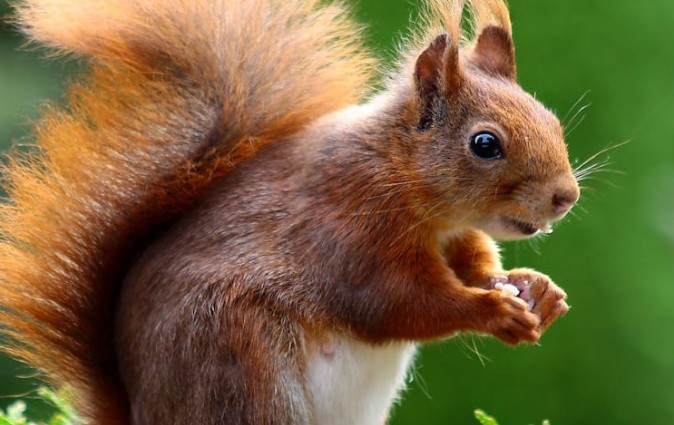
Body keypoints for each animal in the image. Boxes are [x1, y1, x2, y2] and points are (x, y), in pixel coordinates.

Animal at [0, 0, 580, 424]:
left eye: (550, 119)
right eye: (485, 144)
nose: (566, 196)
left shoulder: (455, 235)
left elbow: (476, 265)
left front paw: (535, 289)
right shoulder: (346, 227)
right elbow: (395, 303)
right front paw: (492, 310)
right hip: (240, 365)